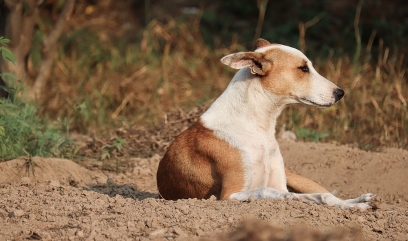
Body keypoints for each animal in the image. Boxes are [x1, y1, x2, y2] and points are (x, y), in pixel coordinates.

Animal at [156, 38, 372, 211]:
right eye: (303, 68)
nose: (340, 93)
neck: (257, 127)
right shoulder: (230, 195)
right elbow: (274, 192)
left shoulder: (280, 183)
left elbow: (318, 195)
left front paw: (354, 204)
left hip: (295, 177)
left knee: (327, 192)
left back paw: (361, 200)